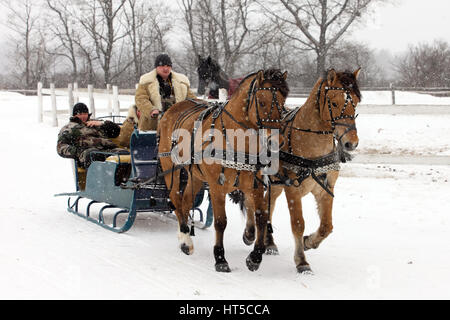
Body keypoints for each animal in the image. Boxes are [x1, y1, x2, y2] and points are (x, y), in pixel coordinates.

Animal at [157, 68, 288, 272]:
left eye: (283, 103)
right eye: (261, 102)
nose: (276, 142)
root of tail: (173, 108)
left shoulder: (256, 186)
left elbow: (261, 217)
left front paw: (255, 256)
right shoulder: (216, 186)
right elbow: (220, 221)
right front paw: (220, 258)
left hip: (195, 175)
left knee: (185, 201)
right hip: (171, 168)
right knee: (176, 198)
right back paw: (185, 239)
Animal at [239, 69, 362, 274]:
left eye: (355, 102)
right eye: (334, 103)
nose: (350, 143)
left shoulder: (325, 188)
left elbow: (327, 225)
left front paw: (308, 242)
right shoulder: (293, 189)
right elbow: (298, 223)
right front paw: (302, 261)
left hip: (276, 184)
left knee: (268, 205)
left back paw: (269, 242)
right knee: (254, 201)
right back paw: (251, 234)